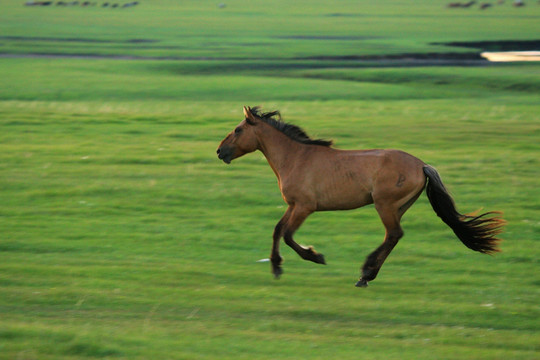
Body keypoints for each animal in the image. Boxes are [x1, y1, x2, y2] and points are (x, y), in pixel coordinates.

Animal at [216, 106, 506, 286]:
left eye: (238, 130)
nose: (220, 151)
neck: (296, 157)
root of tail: (422, 165)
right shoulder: (294, 205)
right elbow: (277, 230)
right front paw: (276, 267)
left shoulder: (305, 207)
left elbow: (288, 235)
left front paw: (315, 256)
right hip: (398, 207)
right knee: (392, 237)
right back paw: (366, 275)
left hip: (384, 205)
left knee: (394, 234)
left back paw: (365, 273)